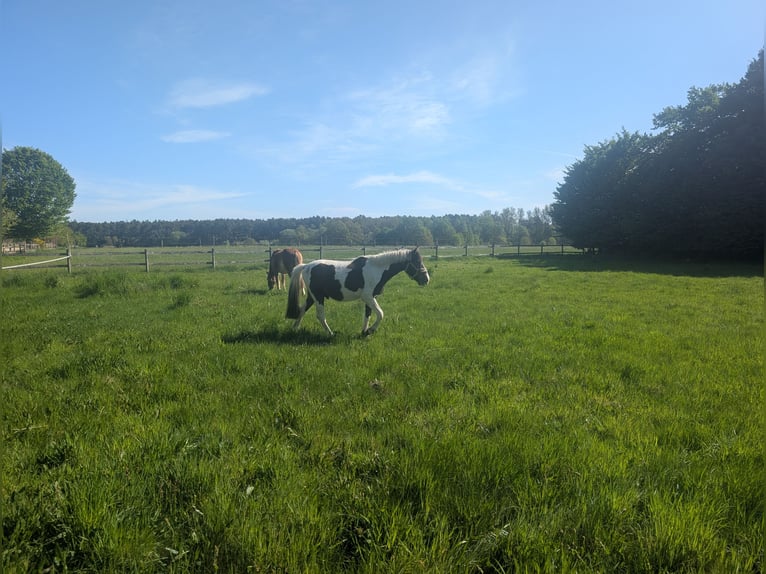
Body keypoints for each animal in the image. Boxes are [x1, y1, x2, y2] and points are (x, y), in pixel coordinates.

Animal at [285, 248, 430, 336]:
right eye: (418, 261)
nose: (426, 279)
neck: (377, 268)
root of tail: (306, 266)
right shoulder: (368, 297)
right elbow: (380, 314)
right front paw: (371, 330)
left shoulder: (371, 298)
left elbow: (368, 315)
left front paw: (364, 332)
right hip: (318, 297)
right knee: (320, 316)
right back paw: (330, 333)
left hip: (312, 297)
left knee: (302, 310)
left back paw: (295, 329)